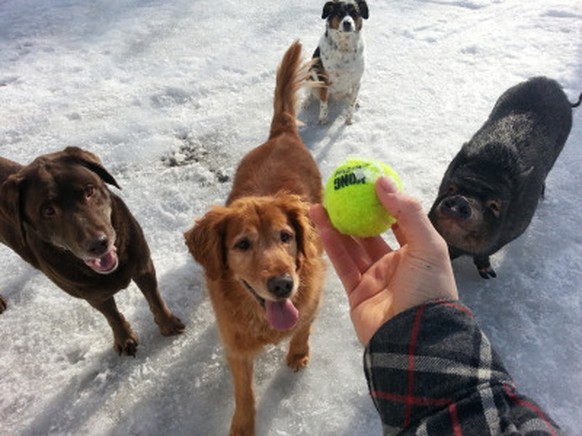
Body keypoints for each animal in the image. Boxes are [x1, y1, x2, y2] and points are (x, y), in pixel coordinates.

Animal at [0, 146, 185, 354]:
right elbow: (112, 315)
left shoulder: (143, 265)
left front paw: (169, 324)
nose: (98, 243)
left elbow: (155, 299)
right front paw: (125, 338)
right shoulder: (93, 295)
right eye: (48, 210)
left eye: (89, 190)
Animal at [185, 40, 326, 432]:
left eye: (286, 236)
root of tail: (281, 134)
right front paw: (243, 425)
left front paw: (298, 354)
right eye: (242, 244)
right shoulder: (236, 348)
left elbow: (303, 327)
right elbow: (244, 392)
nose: (283, 285)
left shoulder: (311, 298)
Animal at [428, 76, 580, 278]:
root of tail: (550, 82)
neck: (488, 170)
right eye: (451, 188)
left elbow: (484, 253)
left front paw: (489, 275)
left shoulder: (515, 228)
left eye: (495, 205)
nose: (461, 200)